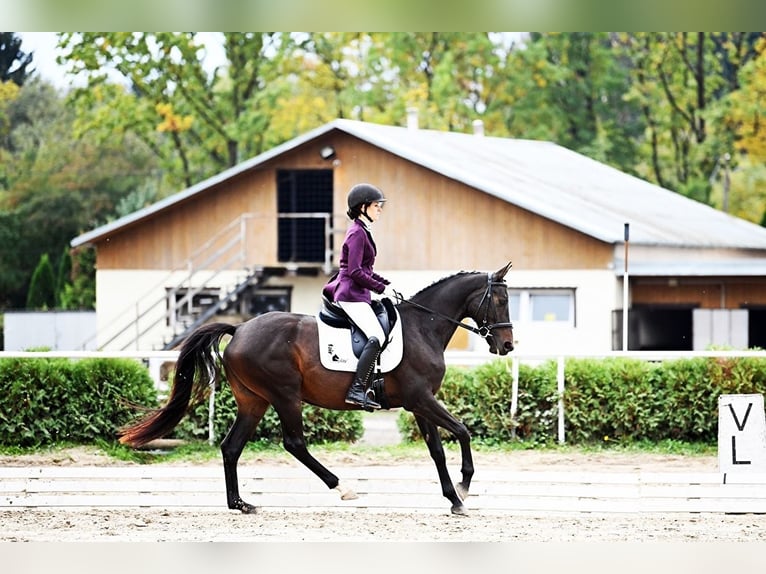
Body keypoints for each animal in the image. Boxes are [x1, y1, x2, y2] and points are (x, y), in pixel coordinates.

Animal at [120, 262, 516, 516]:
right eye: (500, 300)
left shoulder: (418, 404)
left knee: (231, 447)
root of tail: (239, 328)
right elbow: (462, 431)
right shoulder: (421, 398)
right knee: (294, 443)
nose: (508, 345)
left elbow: (436, 451)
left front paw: (454, 499)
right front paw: (464, 487)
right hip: (284, 395)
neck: (423, 327)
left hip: (254, 401)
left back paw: (241, 504)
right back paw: (343, 488)